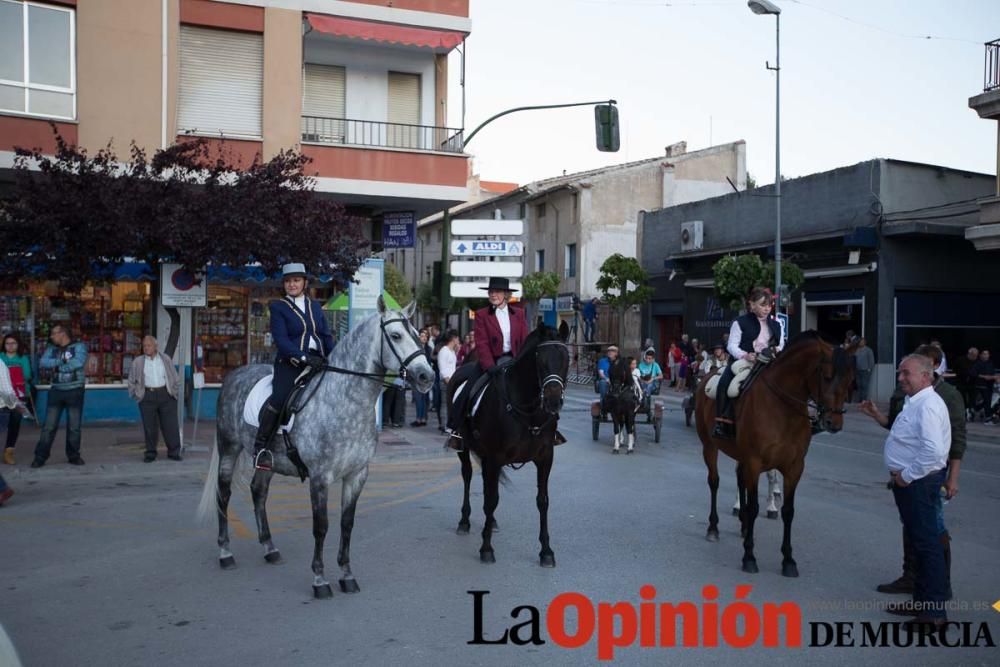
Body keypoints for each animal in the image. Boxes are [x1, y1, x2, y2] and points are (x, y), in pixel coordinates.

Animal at [198, 298, 434, 600]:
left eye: (417, 335)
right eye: (395, 336)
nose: (427, 376)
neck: (345, 401)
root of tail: (233, 375)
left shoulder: (357, 475)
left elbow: (347, 523)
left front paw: (347, 575)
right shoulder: (320, 478)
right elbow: (321, 526)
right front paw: (320, 580)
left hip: (268, 460)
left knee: (258, 492)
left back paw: (270, 549)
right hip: (229, 447)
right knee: (224, 493)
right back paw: (225, 553)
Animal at [450, 320, 568, 568]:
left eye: (566, 358)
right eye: (540, 360)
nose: (553, 401)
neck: (528, 410)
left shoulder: (545, 458)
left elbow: (542, 501)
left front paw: (546, 551)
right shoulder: (495, 458)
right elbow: (491, 499)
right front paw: (486, 548)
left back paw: (491, 522)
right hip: (465, 448)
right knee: (467, 475)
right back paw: (464, 521)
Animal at [696, 332, 852, 576]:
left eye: (849, 380)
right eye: (826, 377)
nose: (833, 423)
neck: (783, 408)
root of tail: (711, 372)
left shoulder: (794, 467)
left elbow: (788, 510)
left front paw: (788, 560)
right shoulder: (754, 462)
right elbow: (754, 507)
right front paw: (749, 557)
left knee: (740, 481)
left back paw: (743, 527)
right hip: (709, 446)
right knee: (714, 482)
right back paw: (713, 528)